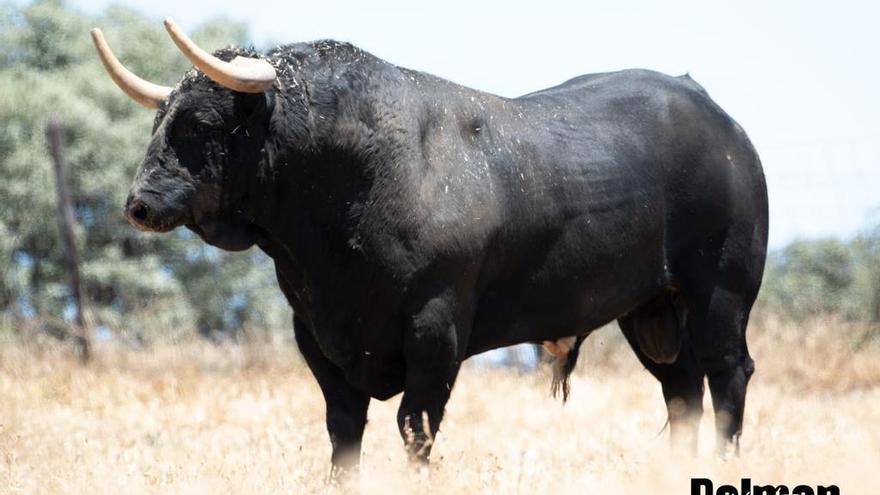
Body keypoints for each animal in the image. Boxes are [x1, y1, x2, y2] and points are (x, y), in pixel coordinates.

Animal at [105, 37, 768, 468]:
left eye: (199, 123)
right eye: (160, 120)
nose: (138, 204)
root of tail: (719, 120)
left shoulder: (435, 330)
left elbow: (414, 428)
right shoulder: (316, 335)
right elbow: (343, 432)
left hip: (720, 292)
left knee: (726, 377)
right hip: (651, 308)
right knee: (682, 391)